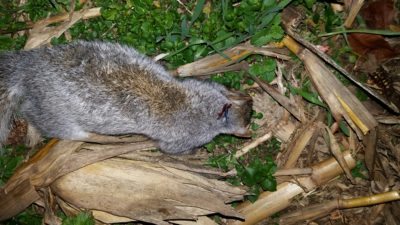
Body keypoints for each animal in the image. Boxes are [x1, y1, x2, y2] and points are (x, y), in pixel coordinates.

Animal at [0, 40, 253, 155]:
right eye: (248, 117)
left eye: (249, 103)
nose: (252, 105)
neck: (204, 105)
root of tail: (26, 69)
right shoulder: (184, 137)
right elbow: (172, 149)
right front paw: (193, 153)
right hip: (53, 113)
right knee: (44, 120)